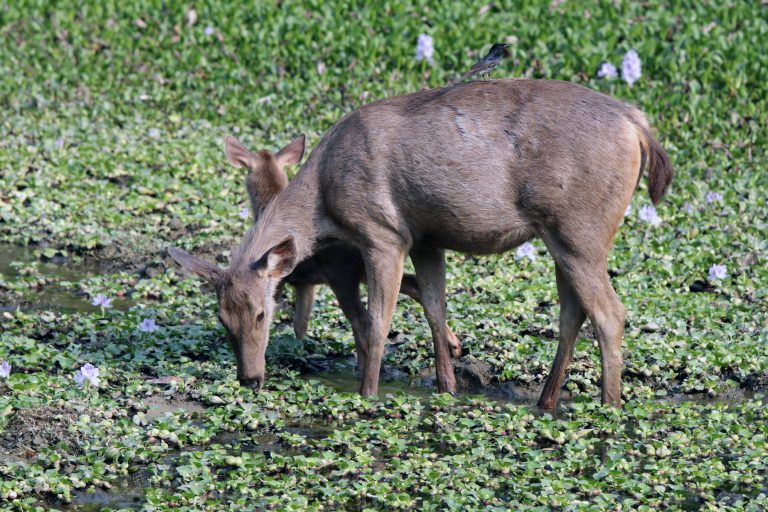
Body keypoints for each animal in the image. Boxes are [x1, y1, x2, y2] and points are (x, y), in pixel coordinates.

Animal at [170, 80, 672, 408]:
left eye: (262, 313)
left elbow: (375, 323)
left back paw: (610, 405)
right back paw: (547, 401)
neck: (324, 202)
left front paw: (368, 395)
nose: (250, 378)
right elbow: (434, 307)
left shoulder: (384, 234)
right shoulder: (427, 237)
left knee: (610, 313)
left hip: (581, 228)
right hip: (560, 235)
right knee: (572, 314)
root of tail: (638, 126)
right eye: (222, 320)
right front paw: (447, 386)